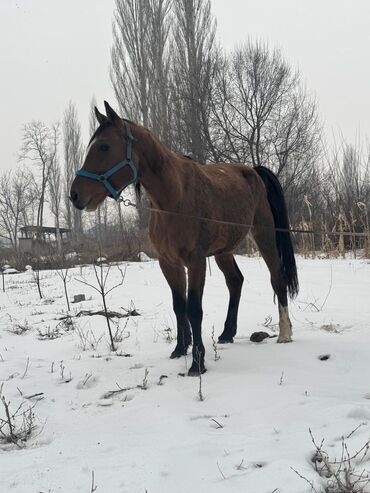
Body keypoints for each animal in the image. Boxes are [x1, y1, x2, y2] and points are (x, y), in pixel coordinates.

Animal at [71, 102, 298, 374]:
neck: (173, 201)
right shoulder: (169, 263)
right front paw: (180, 349)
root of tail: (252, 171)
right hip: (223, 251)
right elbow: (179, 307)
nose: (75, 194)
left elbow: (194, 310)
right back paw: (227, 333)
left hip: (263, 235)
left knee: (277, 277)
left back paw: (285, 333)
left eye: (104, 146)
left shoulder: (195, 262)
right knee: (235, 281)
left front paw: (198, 363)